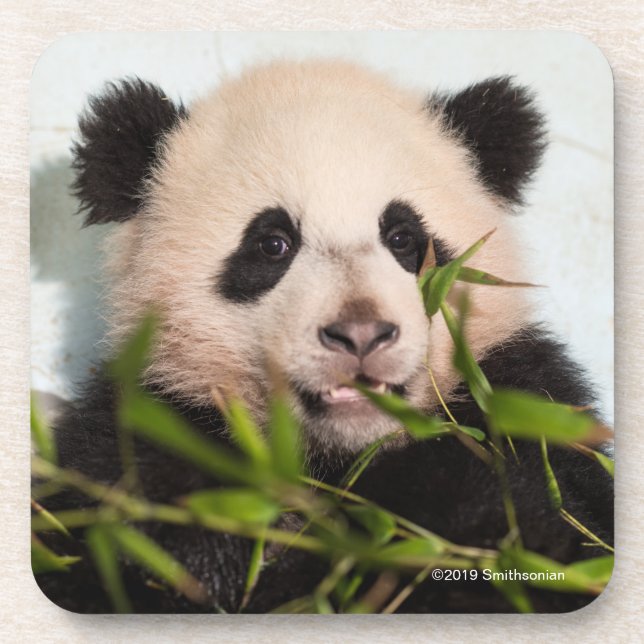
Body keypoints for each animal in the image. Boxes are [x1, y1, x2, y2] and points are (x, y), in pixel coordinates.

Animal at [35, 60, 613, 614]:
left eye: (403, 238)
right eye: (273, 243)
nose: (360, 334)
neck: (337, 457)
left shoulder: (524, 401)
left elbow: (540, 521)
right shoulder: (146, 421)